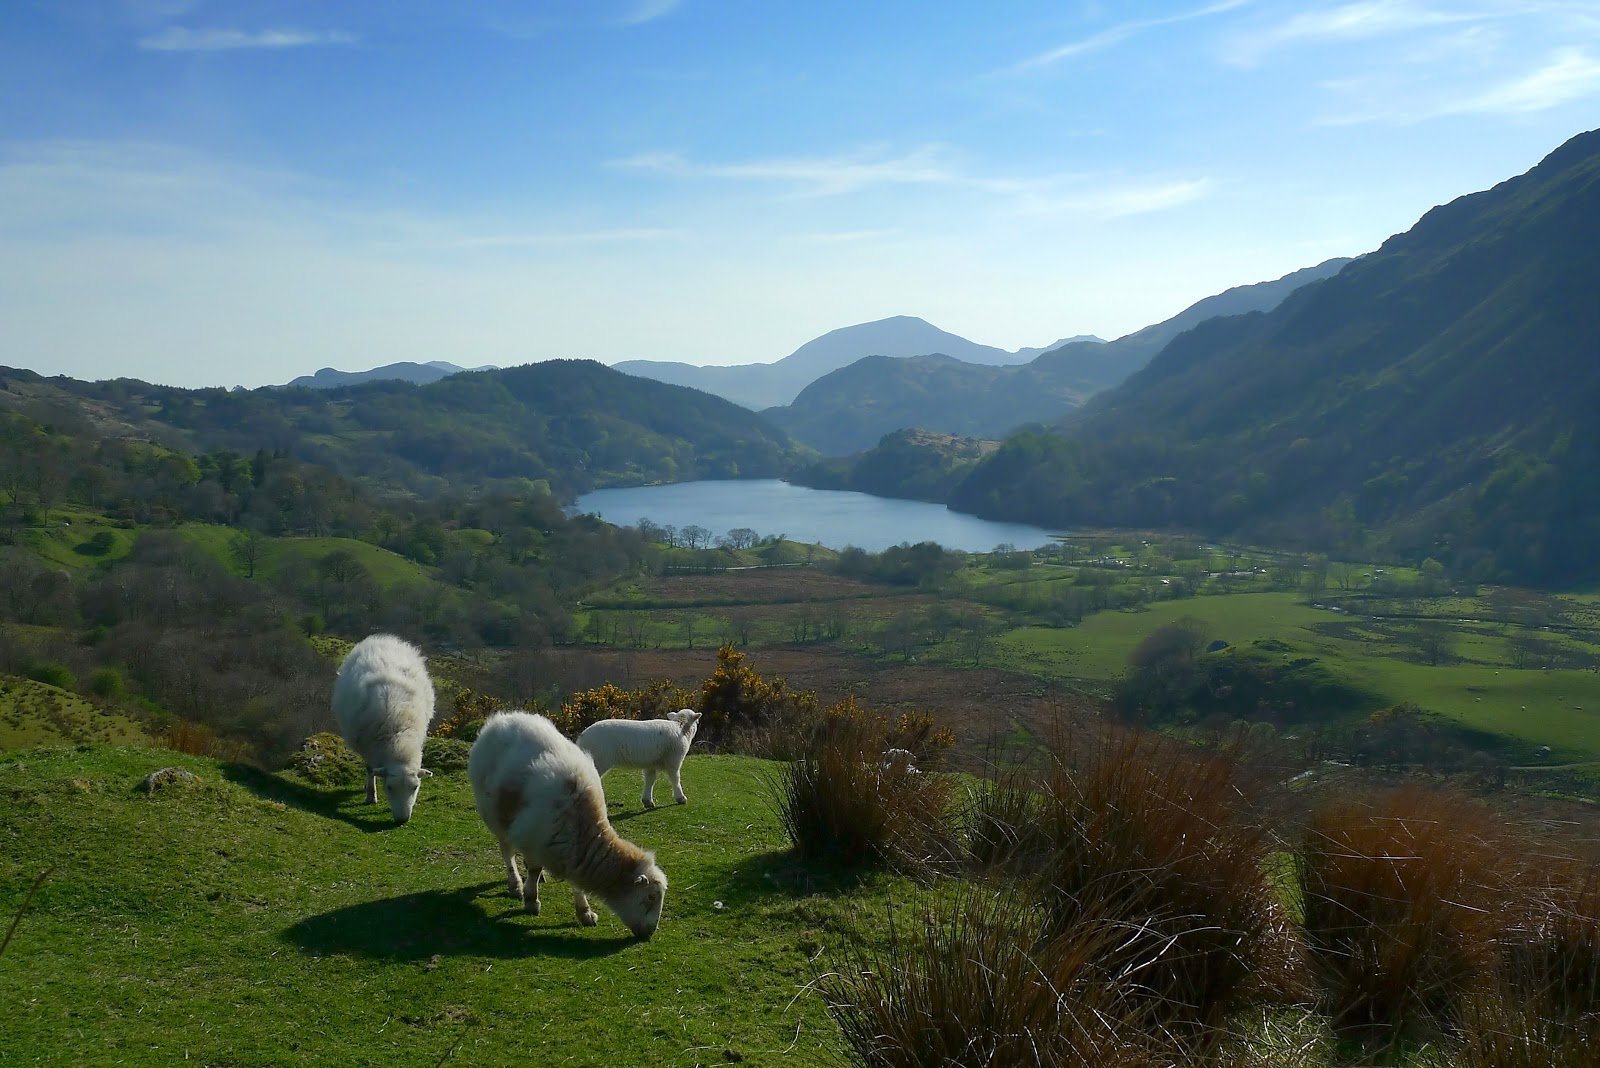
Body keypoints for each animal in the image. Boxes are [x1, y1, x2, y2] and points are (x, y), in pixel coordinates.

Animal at [329, 633, 438, 824]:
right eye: (389, 787)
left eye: (415, 787)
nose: (402, 819)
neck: (398, 735)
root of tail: (381, 638)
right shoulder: (367, 746)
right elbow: (370, 770)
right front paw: (371, 796)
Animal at [467, 713, 665, 940]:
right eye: (651, 897)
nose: (651, 933)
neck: (582, 826)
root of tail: (503, 717)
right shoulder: (536, 838)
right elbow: (533, 869)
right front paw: (531, 901)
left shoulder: (567, 851)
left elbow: (574, 884)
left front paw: (585, 912)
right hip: (495, 816)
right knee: (507, 851)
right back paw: (515, 884)